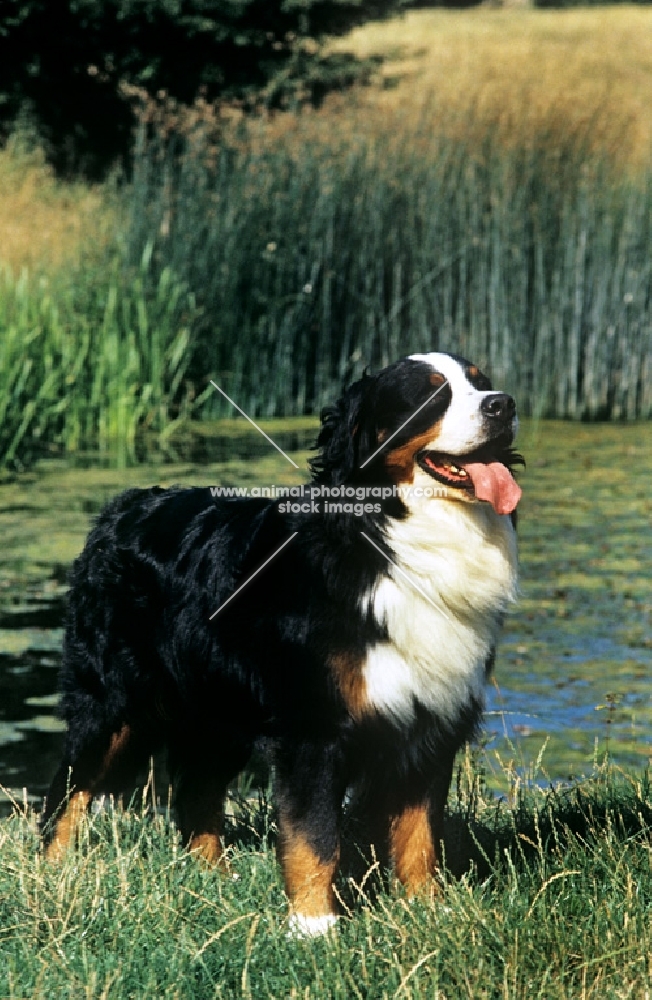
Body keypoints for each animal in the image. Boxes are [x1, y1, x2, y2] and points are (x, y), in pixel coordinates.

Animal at [42, 354, 520, 936]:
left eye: (480, 381)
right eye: (431, 397)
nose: (503, 405)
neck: (392, 537)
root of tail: (122, 505)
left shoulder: (430, 719)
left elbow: (419, 831)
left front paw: (426, 910)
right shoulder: (314, 726)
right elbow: (314, 835)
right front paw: (314, 925)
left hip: (218, 712)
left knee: (196, 793)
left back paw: (213, 883)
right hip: (113, 701)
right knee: (68, 790)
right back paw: (53, 877)